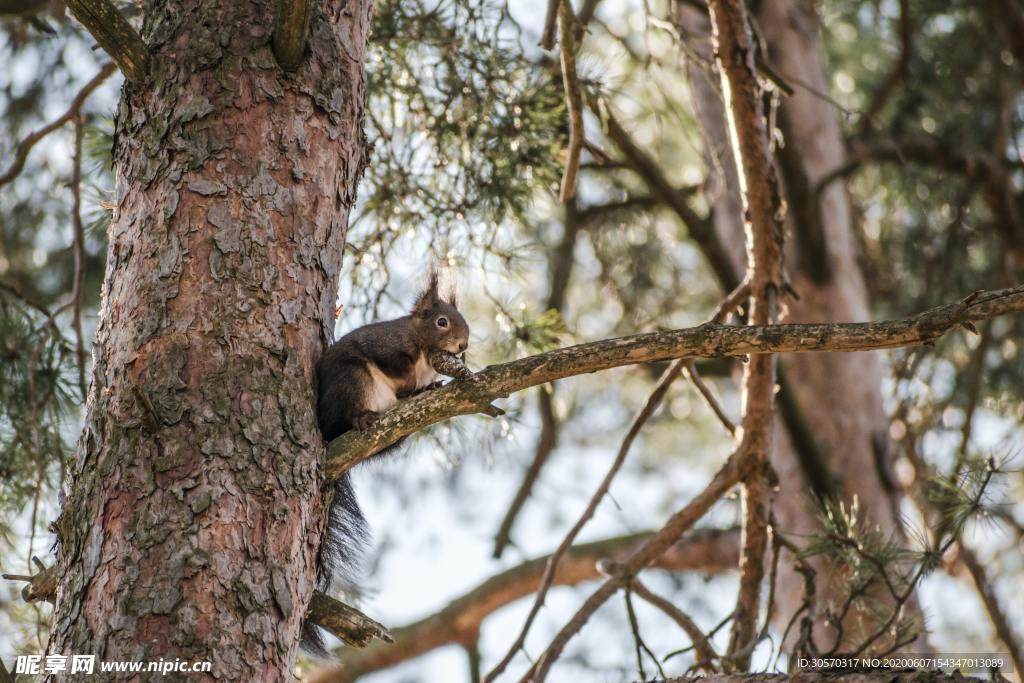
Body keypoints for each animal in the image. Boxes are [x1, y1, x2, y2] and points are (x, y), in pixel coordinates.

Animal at [299, 270, 468, 655]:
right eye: (442, 322)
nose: (463, 346)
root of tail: (328, 431)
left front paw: (430, 385)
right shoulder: (384, 346)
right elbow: (393, 362)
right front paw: (413, 378)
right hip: (352, 382)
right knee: (350, 413)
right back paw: (361, 419)